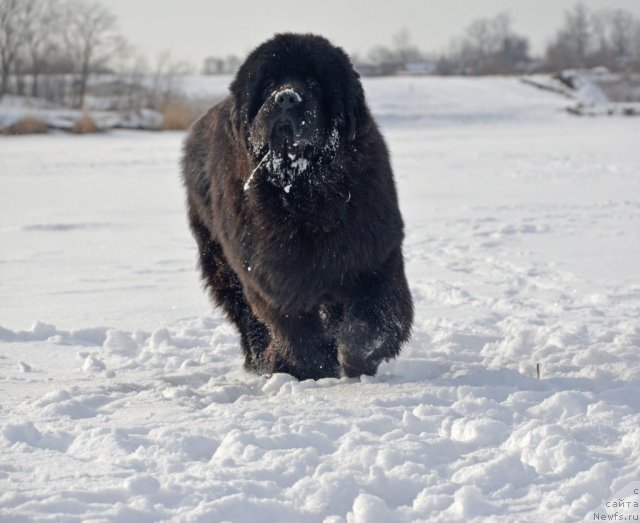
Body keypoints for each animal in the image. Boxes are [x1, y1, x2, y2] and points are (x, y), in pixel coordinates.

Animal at [182, 33, 412, 380]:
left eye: (314, 83)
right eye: (270, 83)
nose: (287, 98)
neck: (304, 192)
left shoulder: (373, 256)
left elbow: (375, 320)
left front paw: (356, 359)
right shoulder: (269, 275)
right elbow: (293, 326)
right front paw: (308, 367)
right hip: (222, 263)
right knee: (246, 315)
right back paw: (260, 360)